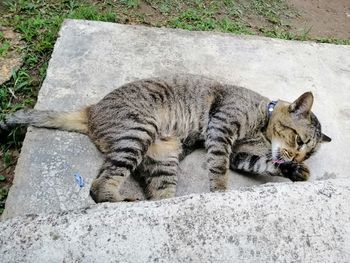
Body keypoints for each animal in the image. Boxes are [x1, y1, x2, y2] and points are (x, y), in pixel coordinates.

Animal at [0, 74, 330, 204]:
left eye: (307, 153)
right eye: (300, 141)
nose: (298, 157)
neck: (262, 121)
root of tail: (91, 110)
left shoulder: (240, 154)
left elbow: (260, 163)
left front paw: (294, 171)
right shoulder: (222, 129)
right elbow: (219, 169)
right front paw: (221, 193)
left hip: (162, 160)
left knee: (156, 196)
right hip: (138, 134)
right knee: (98, 187)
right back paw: (124, 203)